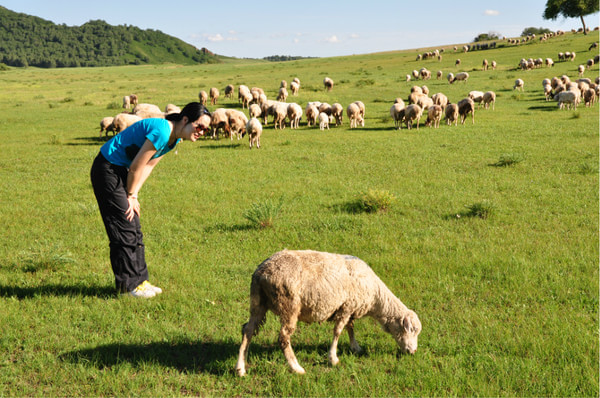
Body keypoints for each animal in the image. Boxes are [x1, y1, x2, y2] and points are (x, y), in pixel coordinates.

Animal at [234, 250, 422, 374]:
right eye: (411, 330)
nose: (413, 352)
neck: (375, 297)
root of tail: (261, 272)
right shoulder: (346, 307)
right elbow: (338, 331)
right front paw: (333, 358)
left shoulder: (349, 307)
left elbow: (350, 328)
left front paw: (355, 347)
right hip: (288, 305)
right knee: (283, 337)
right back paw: (296, 368)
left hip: (258, 302)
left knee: (247, 330)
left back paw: (240, 368)